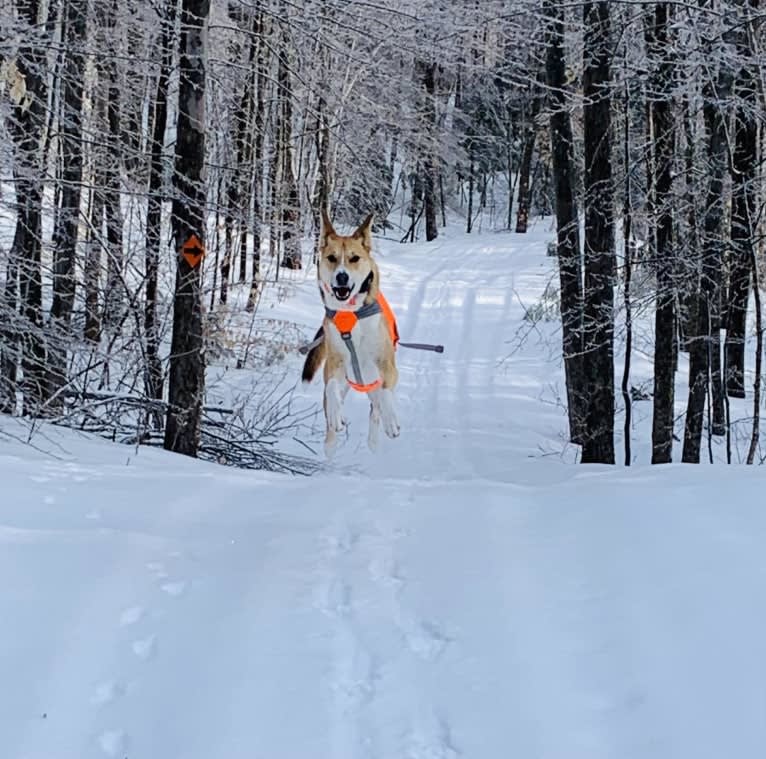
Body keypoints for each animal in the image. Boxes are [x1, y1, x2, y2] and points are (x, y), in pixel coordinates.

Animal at [304, 209, 404, 458]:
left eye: (354, 258)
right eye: (331, 258)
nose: (342, 277)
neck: (351, 314)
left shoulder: (387, 365)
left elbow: (386, 394)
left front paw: (391, 421)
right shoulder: (335, 362)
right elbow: (331, 388)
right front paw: (336, 414)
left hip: (372, 383)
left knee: (376, 407)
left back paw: (374, 441)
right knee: (334, 407)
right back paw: (331, 440)